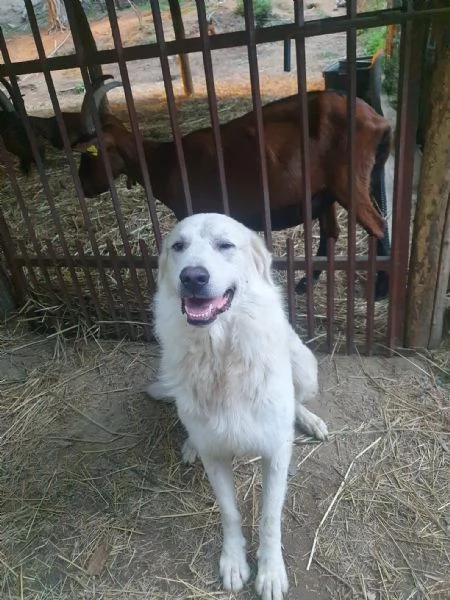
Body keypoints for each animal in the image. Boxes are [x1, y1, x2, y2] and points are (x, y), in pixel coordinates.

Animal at [148, 213, 326, 596]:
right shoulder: (216, 456)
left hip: (305, 365)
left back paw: (309, 420)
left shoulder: (275, 452)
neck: (221, 355)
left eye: (225, 245)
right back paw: (190, 444)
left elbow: (270, 518)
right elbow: (229, 512)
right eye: (178, 246)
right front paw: (233, 561)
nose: (193, 276)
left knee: (298, 398)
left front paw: (270, 572)